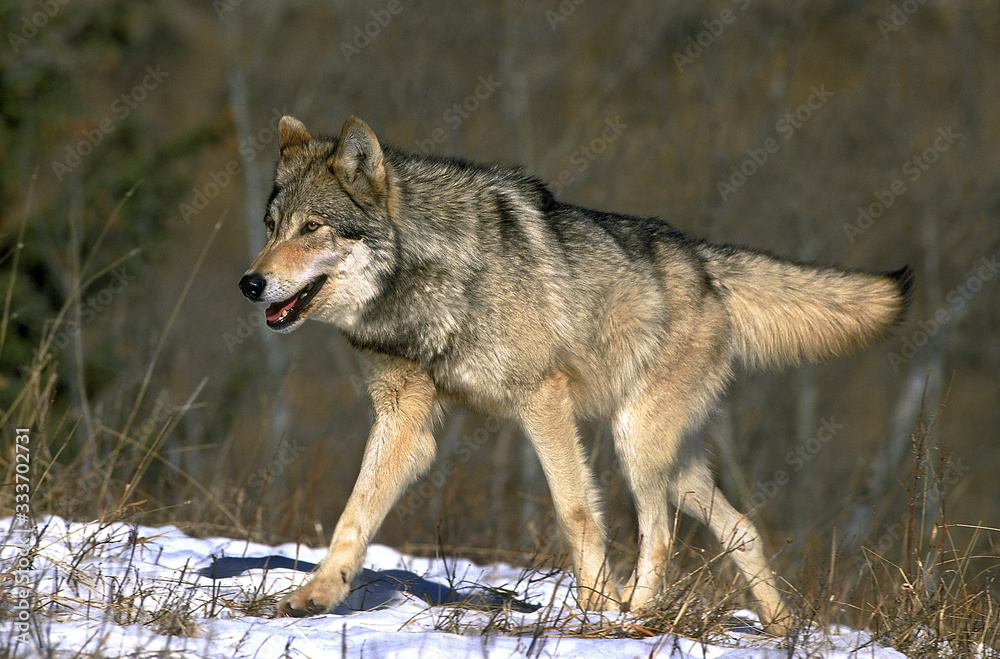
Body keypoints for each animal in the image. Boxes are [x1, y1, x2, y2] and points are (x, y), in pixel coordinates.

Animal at [239, 115, 912, 634]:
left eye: (312, 228)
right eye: (272, 227)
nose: (250, 283)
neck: (429, 281)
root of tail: (704, 262)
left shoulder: (543, 400)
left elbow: (576, 511)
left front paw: (594, 610)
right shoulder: (406, 420)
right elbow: (354, 514)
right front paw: (316, 595)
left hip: (636, 442)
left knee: (659, 535)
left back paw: (635, 614)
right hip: (676, 465)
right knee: (742, 528)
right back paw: (781, 630)